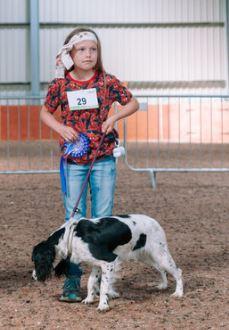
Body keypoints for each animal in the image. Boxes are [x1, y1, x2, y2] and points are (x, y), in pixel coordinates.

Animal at [31, 215, 182, 310]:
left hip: (159, 254)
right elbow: (91, 282)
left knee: (178, 271)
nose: (33, 276)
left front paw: (103, 305)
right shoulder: (97, 265)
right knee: (161, 269)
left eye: (35, 260)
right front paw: (89, 299)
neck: (71, 236)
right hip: (147, 256)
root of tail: (155, 221)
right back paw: (163, 285)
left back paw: (178, 293)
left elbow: (103, 285)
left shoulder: (108, 260)